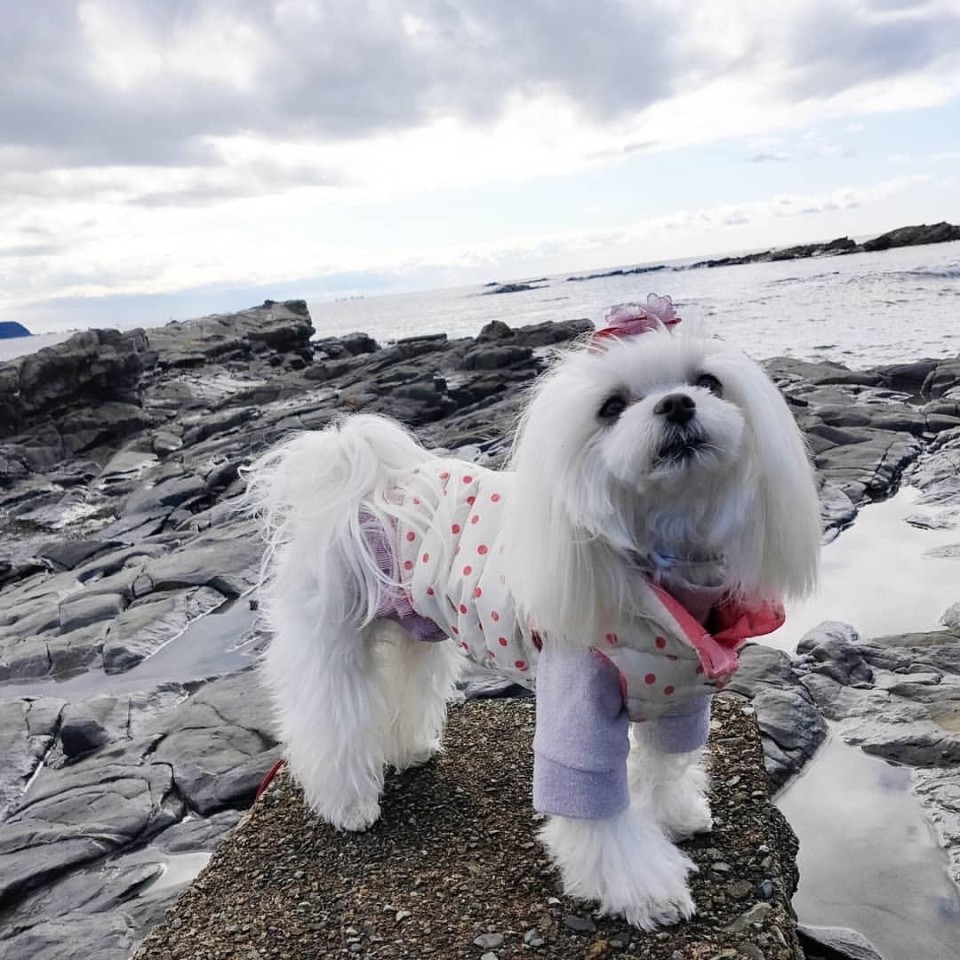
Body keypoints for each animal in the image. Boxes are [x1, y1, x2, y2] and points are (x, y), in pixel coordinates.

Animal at [245, 294, 821, 930]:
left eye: (708, 381)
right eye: (611, 406)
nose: (677, 403)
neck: (657, 553)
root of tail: (362, 479)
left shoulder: (681, 691)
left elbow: (664, 760)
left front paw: (672, 814)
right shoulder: (579, 694)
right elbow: (593, 800)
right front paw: (645, 890)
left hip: (417, 626)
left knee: (408, 684)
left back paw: (410, 749)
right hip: (332, 635)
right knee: (328, 716)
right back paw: (348, 803)